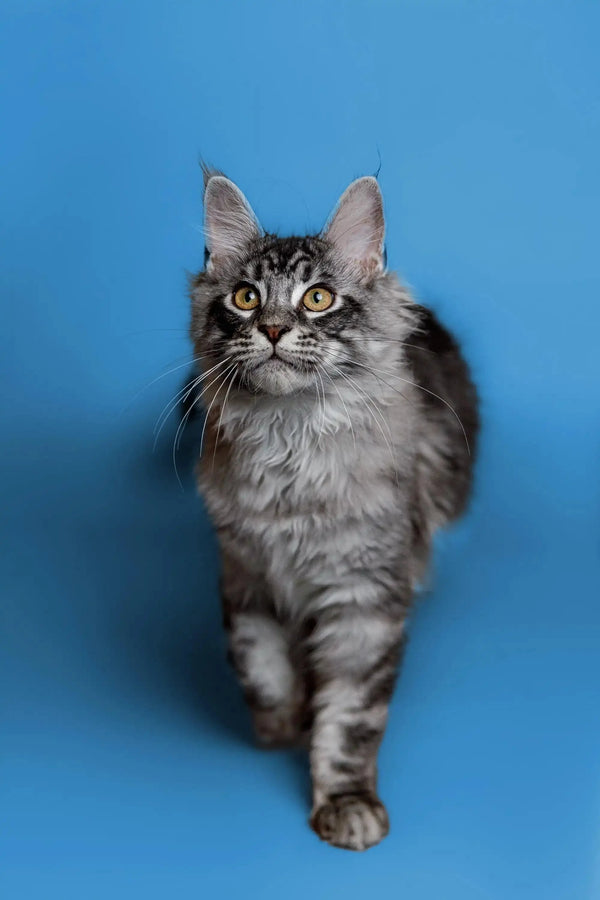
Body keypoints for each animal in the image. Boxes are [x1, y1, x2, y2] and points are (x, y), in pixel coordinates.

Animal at [188, 169, 478, 852]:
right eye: (245, 297)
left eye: (317, 299)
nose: (270, 328)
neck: (290, 443)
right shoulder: (244, 572)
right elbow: (259, 664)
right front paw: (284, 723)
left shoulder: (365, 601)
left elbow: (349, 720)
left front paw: (346, 802)